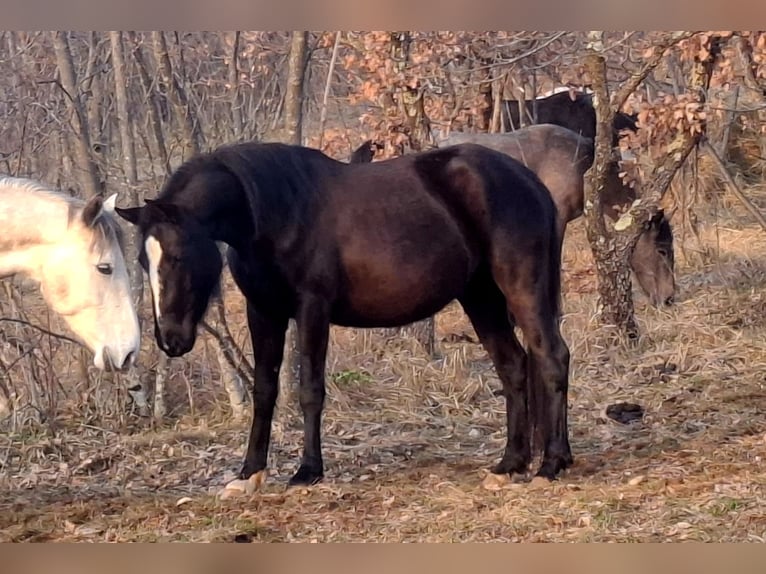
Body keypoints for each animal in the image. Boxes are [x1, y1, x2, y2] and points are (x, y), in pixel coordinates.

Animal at [116, 141, 573, 487]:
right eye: (142, 260)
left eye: (177, 256)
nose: (170, 339)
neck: (273, 214)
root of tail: (529, 180)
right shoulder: (263, 312)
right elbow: (265, 389)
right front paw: (250, 470)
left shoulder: (312, 310)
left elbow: (309, 389)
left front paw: (307, 470)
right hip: (481, 298)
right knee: (514, 366)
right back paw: (513, 461)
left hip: (521, 288)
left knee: (551, 356)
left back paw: (551, 464)